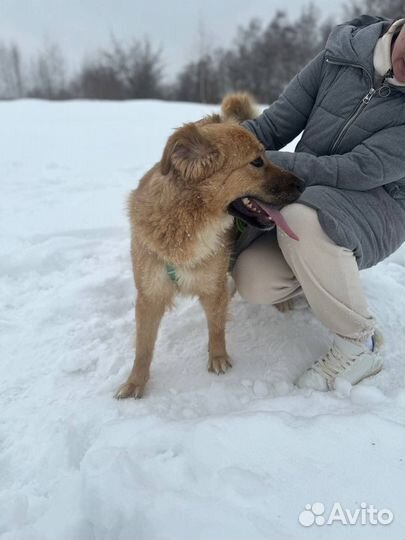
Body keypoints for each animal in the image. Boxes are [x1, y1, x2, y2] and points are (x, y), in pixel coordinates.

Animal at [113, 93, 304, 398]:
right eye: (257, 162)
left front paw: (218, 359)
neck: (185, 224)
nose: (303, 183)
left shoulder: (212, 288)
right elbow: (143, 347)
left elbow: (216, 328)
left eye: (266, 156)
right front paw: (136, 383)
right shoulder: (150, 295)